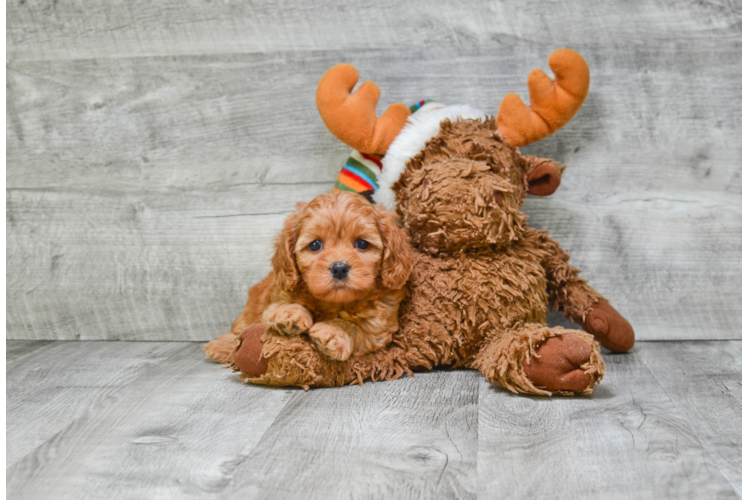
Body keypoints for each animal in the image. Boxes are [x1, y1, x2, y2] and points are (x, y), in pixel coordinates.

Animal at [228, 190, 414, 360]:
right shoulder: (272, 303)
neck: (334, 303)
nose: (339, 268)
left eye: (362, 243)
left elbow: (355, 326)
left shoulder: (379, 327)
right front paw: (290, 312)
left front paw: (334, 331)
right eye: (315, 244)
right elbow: (280, 306)